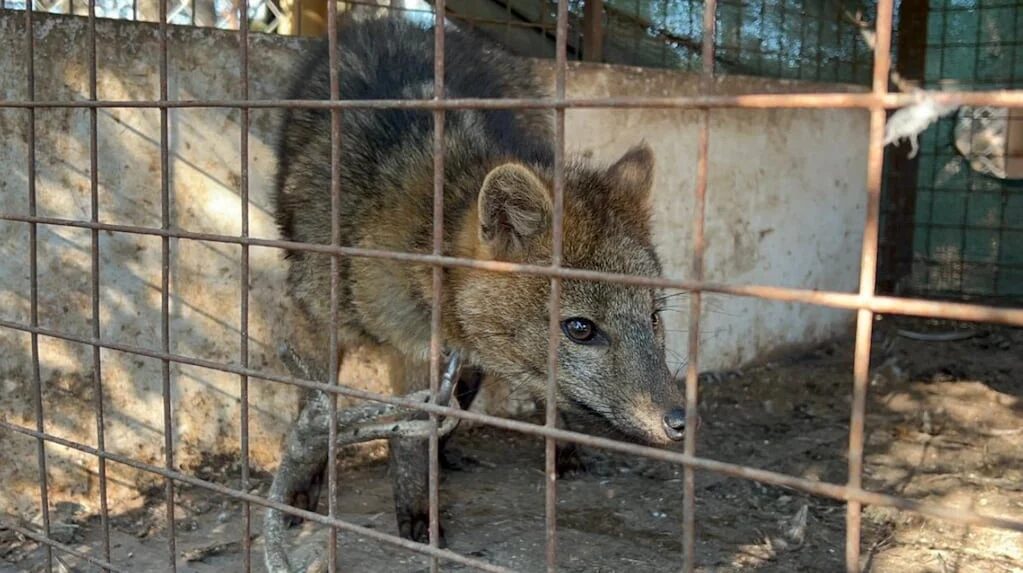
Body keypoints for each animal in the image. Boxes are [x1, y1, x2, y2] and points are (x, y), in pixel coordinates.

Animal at [263, 15, 689, 570]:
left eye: (654, 318)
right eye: (580, 328)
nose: (680, 421)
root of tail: (406, 22)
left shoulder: (422, 352)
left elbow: (411, 440)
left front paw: (419, 510)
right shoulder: (323, 324)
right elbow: (316, 414)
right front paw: (303, 490)